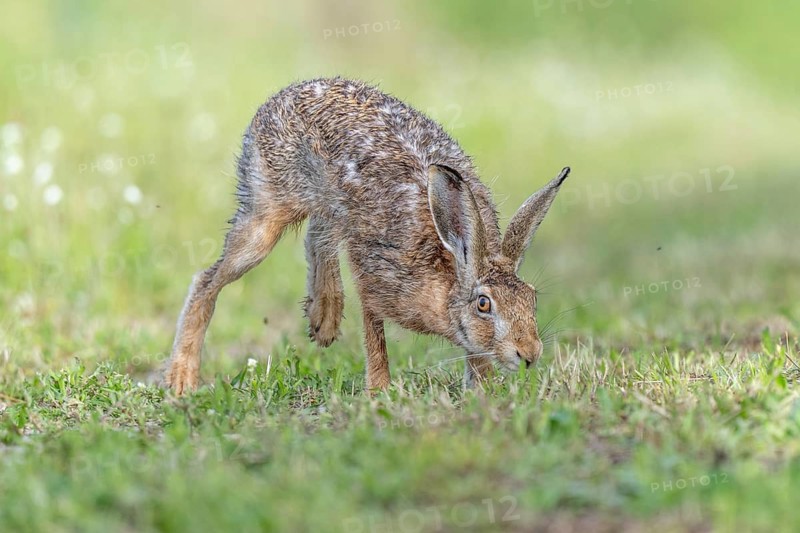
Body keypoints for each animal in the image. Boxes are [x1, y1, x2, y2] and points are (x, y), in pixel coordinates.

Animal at [164, 77, 569, 394]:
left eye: (532, 299)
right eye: (484, 304)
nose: (529, 354)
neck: (453, 262)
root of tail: (278, 98)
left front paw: (480, 391)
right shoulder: (374, 275)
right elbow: (374, 334)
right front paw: (379, 392)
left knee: (318, 235)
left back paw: (323, 318)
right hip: (267, 211)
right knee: (207, 280)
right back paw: (181, 379)